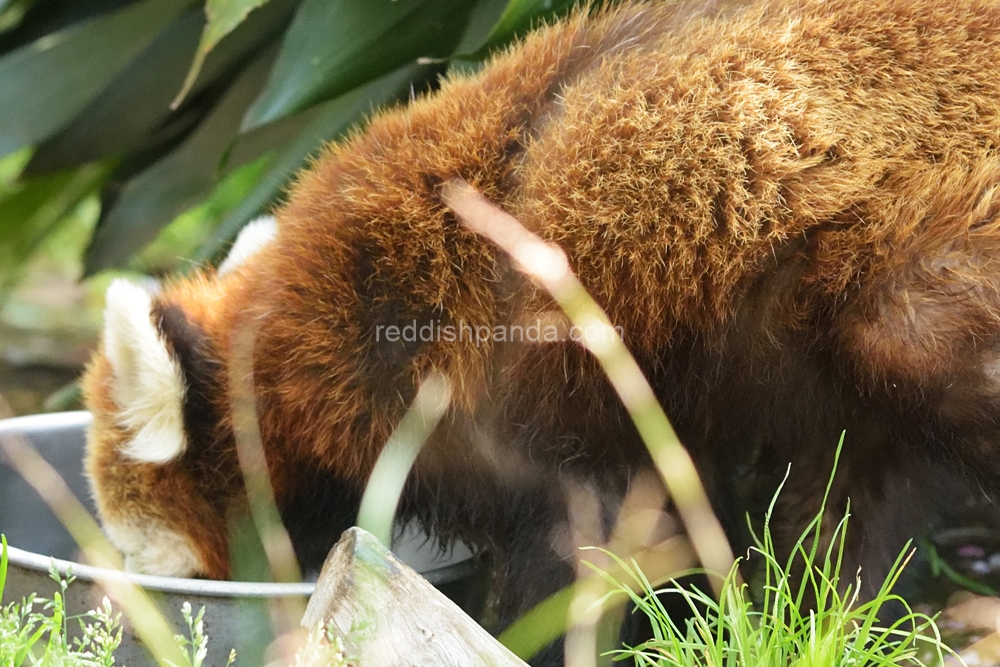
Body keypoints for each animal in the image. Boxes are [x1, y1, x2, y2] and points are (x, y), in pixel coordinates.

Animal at [84, 0, 1000, 664]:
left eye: (135, 551)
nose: (125, 598)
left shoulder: (528, 389)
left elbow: (583, 551)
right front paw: (779, 618)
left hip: (913, 280)